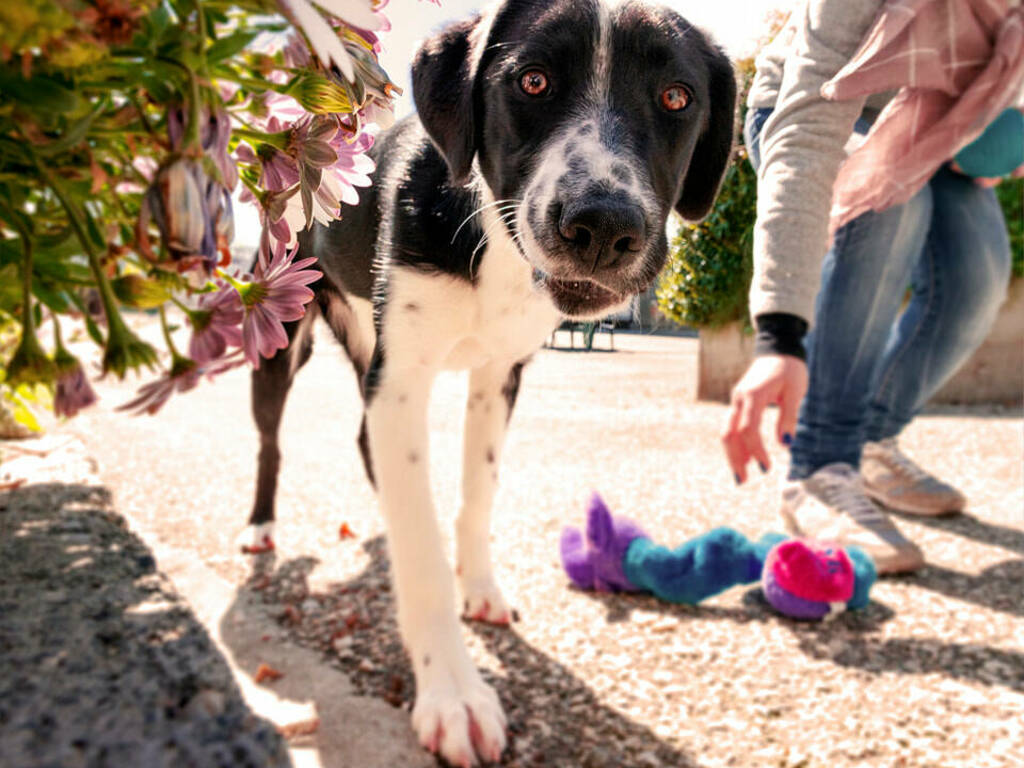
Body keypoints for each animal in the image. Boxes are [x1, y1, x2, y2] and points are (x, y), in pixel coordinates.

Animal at [244, 3, 733, 765]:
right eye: (532, 80)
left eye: (678, 98)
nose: (602, 225)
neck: (493, 247)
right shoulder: (402, 378)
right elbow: (421, 553)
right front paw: (452, 693)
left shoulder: (499, 375)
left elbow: (477, 494)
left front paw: (477, 585)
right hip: (281, 330)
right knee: (272, 440)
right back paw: (263, 526)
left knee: (365, 441)